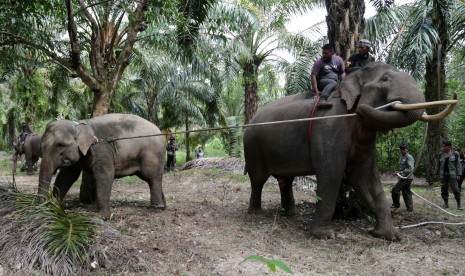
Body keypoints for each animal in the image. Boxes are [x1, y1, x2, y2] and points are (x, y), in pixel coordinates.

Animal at [38, 113, 166, 219]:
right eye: (41, 146)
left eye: (60, 145)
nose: (43, 206)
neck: (80, 124)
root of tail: (162, 134)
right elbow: (66, 177)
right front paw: (54, 207)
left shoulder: (101, 149)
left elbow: (106, 175)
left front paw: (104, 217)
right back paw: (163, 205)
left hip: (152, 154)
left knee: (152, 177)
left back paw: (156, 208)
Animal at [245, 62, 454, 239]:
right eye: (385, 79)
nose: (362, 109)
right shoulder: (329, 124)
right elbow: (332, 172)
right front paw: (325, 236)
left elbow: (365, 177)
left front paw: (388, 235)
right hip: (252, 146)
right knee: (258, 179)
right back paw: (255, 212)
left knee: (285, 180)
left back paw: (289, 213)